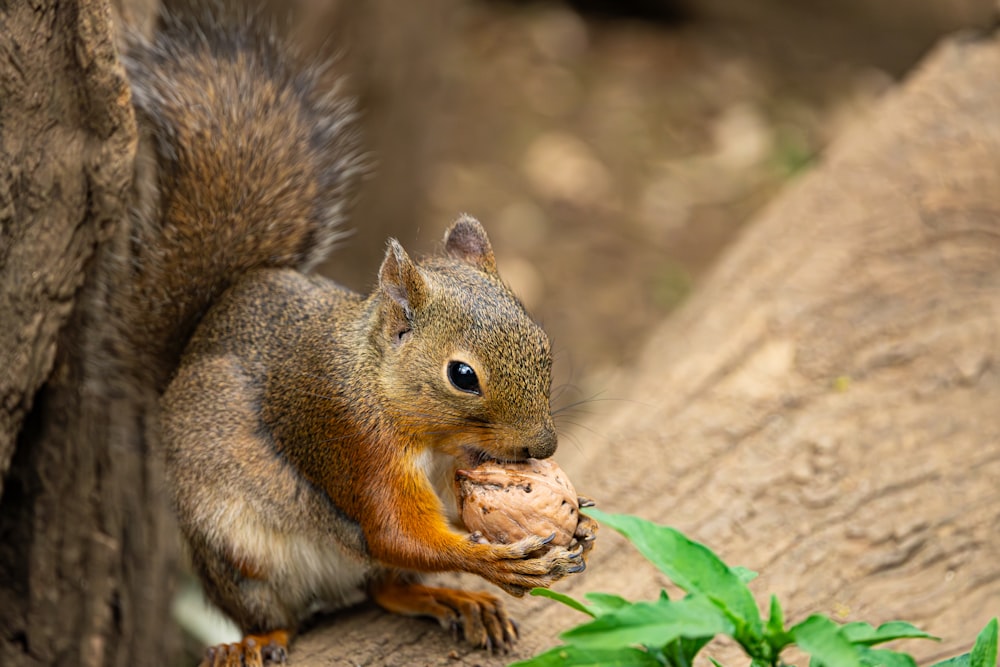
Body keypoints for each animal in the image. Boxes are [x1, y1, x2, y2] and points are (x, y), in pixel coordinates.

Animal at [121, 6, 596, 667]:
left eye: (543, 343)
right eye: (462, 376)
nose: (544, 446)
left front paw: (580, 523)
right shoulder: (351, 438)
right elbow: (393, 530)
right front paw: (495, 566)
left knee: (386, 588)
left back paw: (448, 599)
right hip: (234, 553)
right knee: (287, 611)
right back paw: (257, 641)